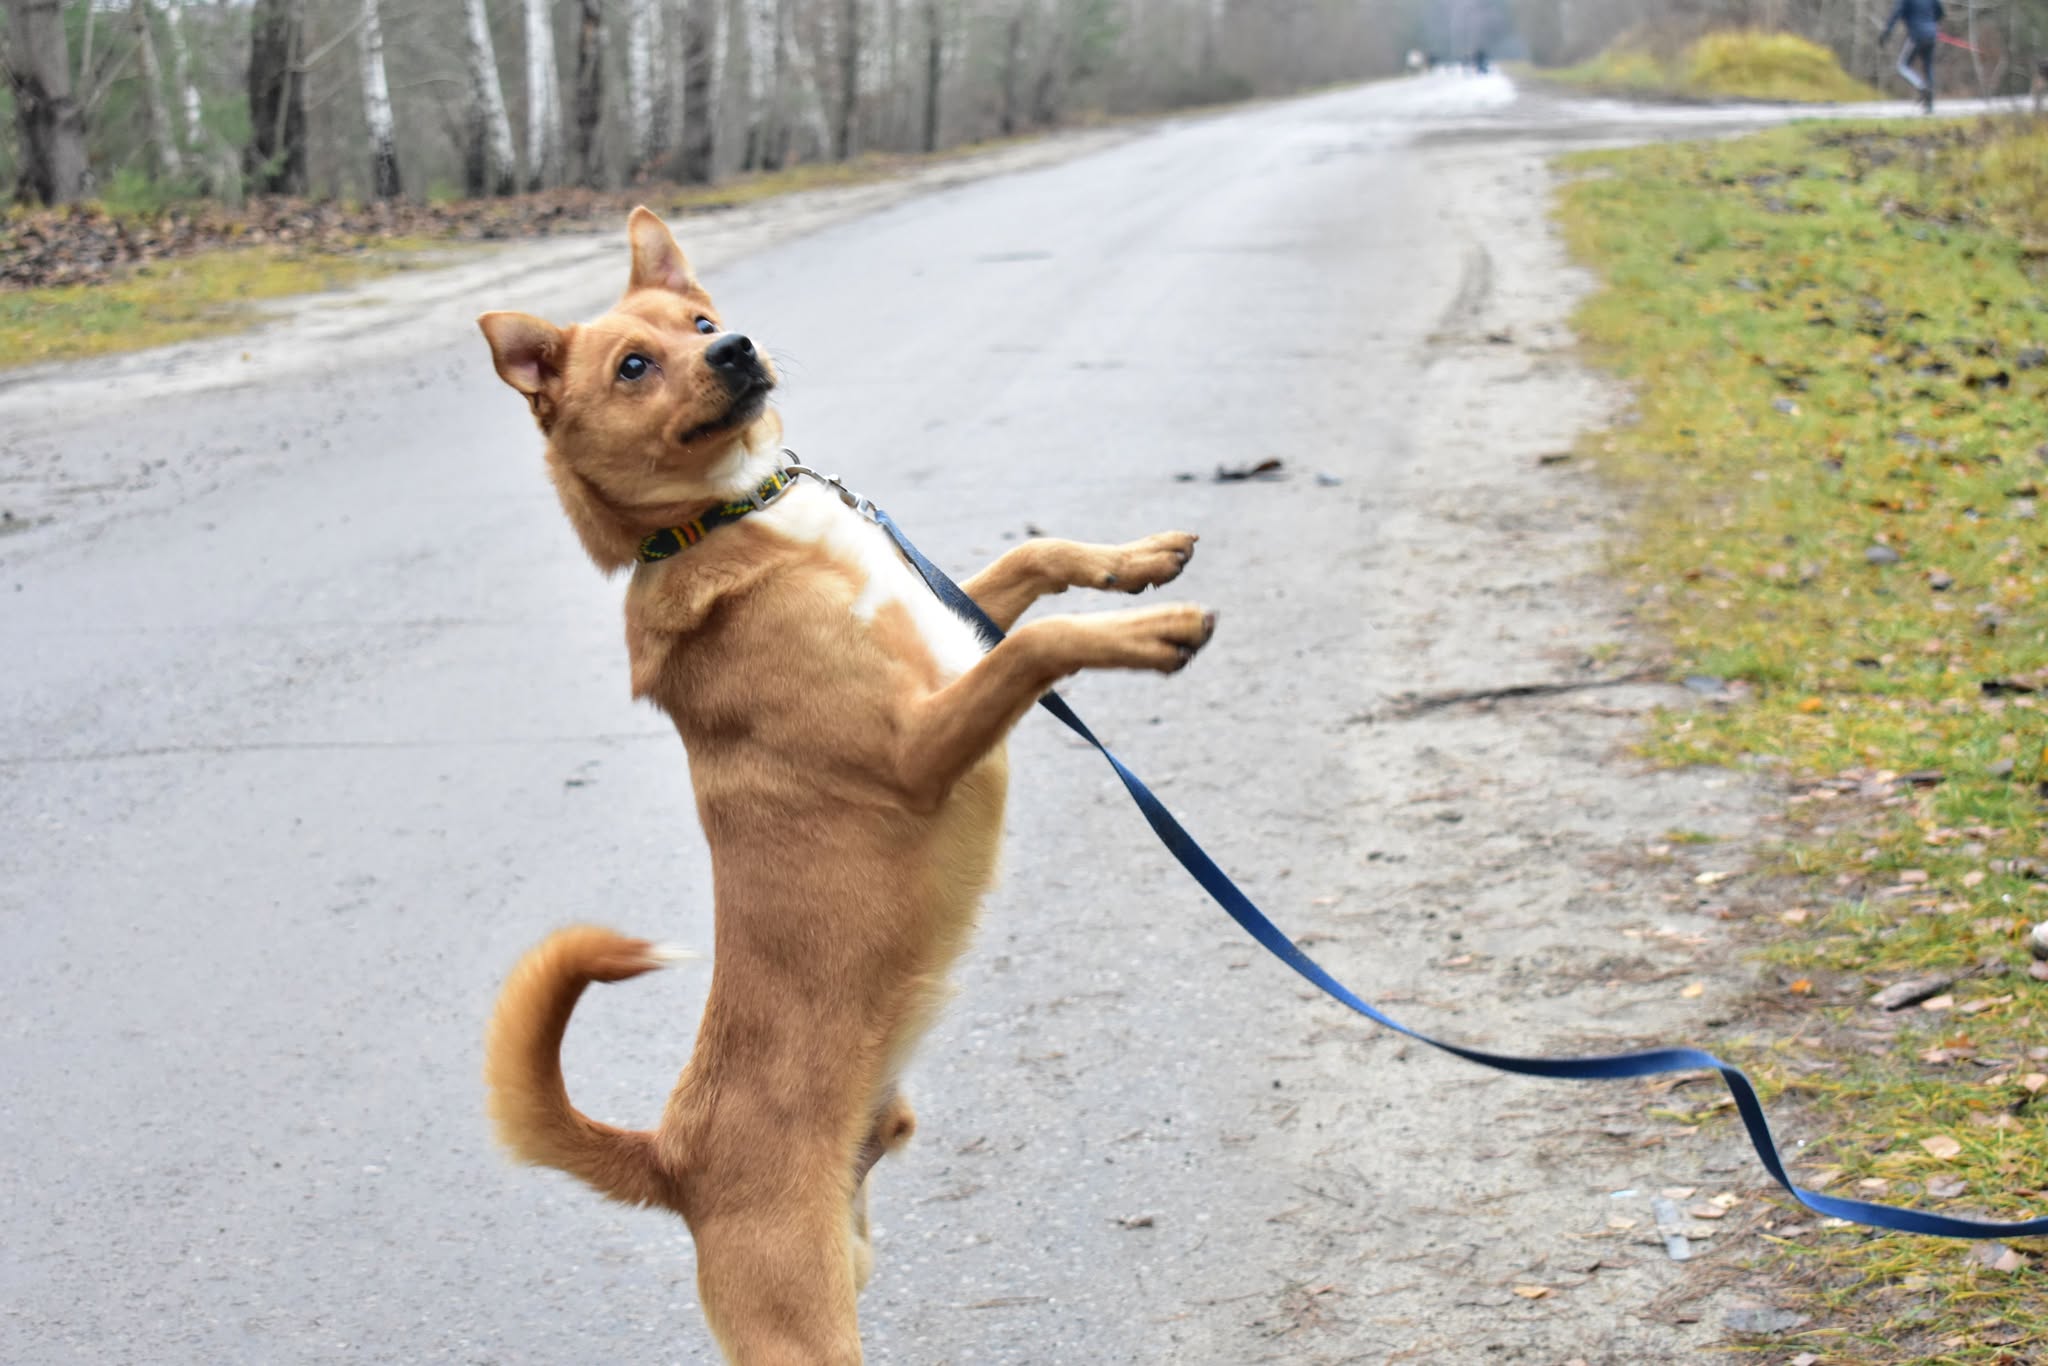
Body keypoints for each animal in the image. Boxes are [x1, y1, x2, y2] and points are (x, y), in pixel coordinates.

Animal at [475, 208, 1212, 1359]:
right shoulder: (923, 740)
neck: (733, 517)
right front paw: (1148, 631)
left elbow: (1031, 560)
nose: (737, 349)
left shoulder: (953, 629)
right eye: (635, 365)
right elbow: (1035, 646)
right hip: (799, 1327)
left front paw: (1134, 561)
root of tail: (670, 1152)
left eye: (701, 324)